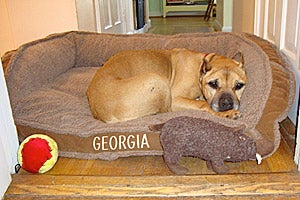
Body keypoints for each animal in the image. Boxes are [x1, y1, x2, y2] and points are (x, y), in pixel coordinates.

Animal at [86, 48, 246, 123]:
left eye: (239, 85)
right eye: (213, 84)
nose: (227, 103)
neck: (199, 71)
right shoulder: (175, 100)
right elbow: (204, 104)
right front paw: (226, 113)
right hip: (157, 80)